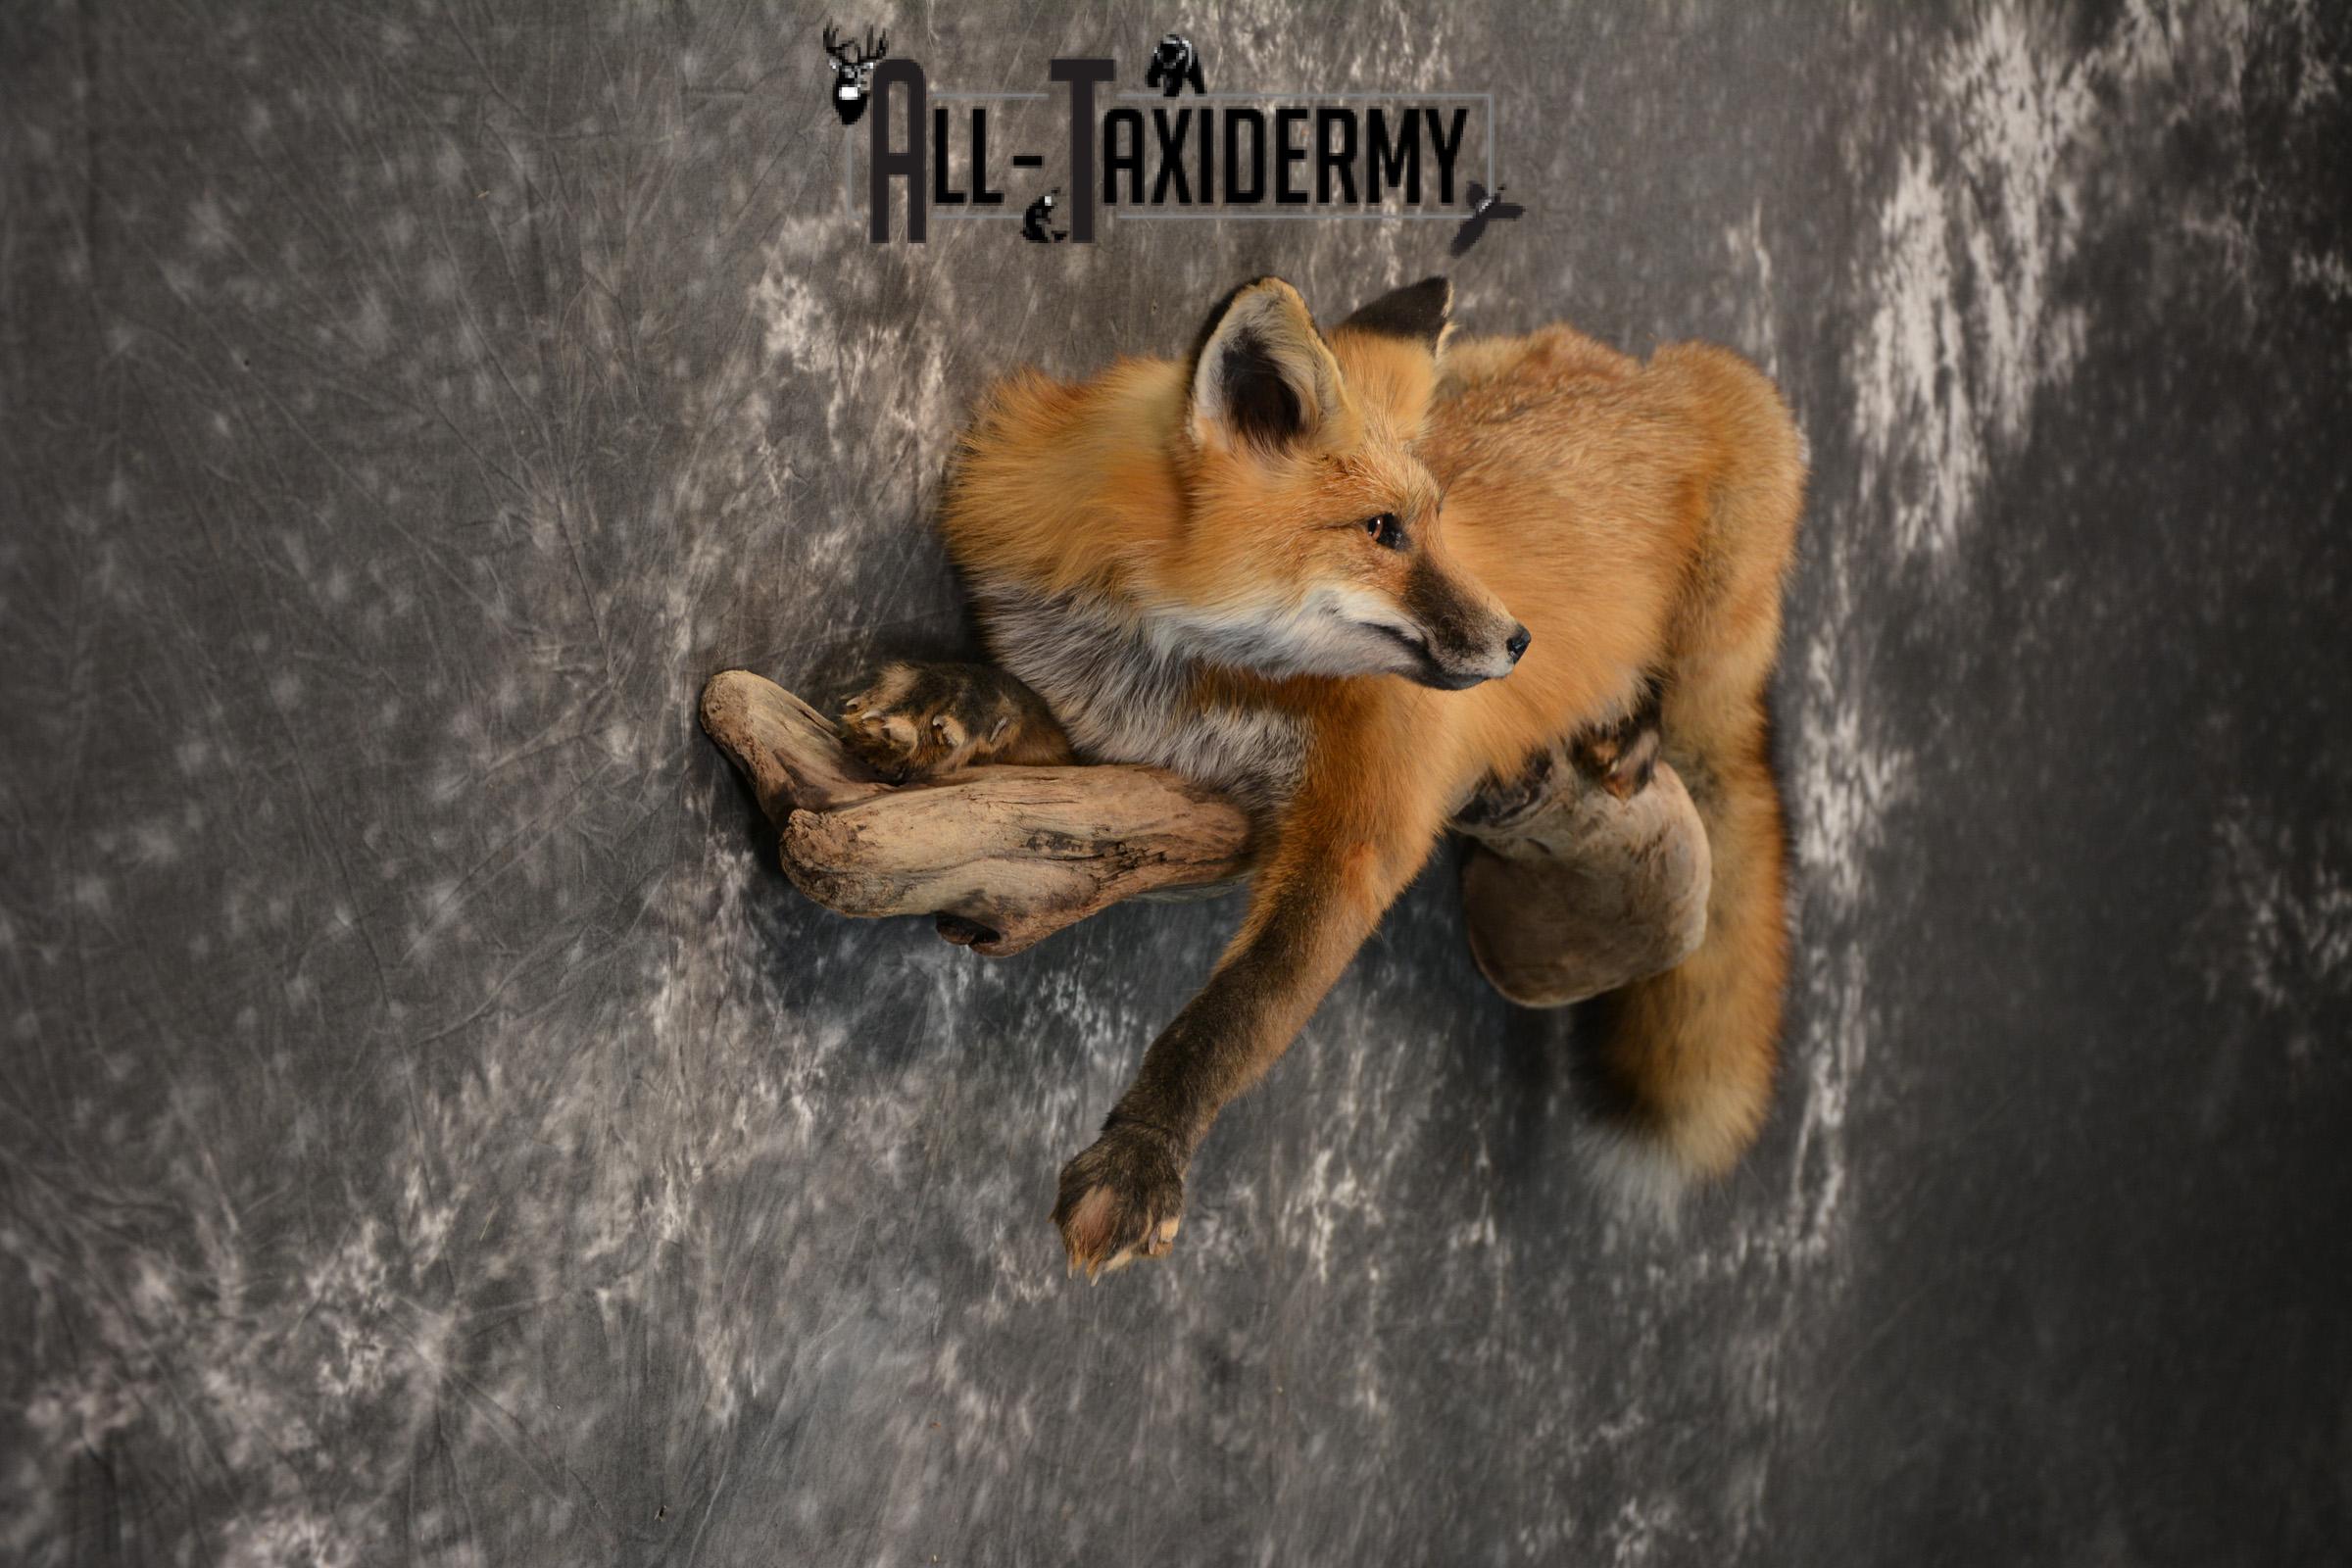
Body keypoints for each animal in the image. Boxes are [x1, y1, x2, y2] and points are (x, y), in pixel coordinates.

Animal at [838, 275, 1805, 1276]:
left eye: (1438, 527)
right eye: (1384, 530)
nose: (1519, 640)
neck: (1186, 677)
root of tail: (1648, 369)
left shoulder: (1358, 832)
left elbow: (1232, 1018)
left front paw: (1143, 1154)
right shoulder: (1118, 758)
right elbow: (1019, 716)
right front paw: (943, 700)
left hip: (1728, 573)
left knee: (1692, 703)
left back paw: (1630, 728)